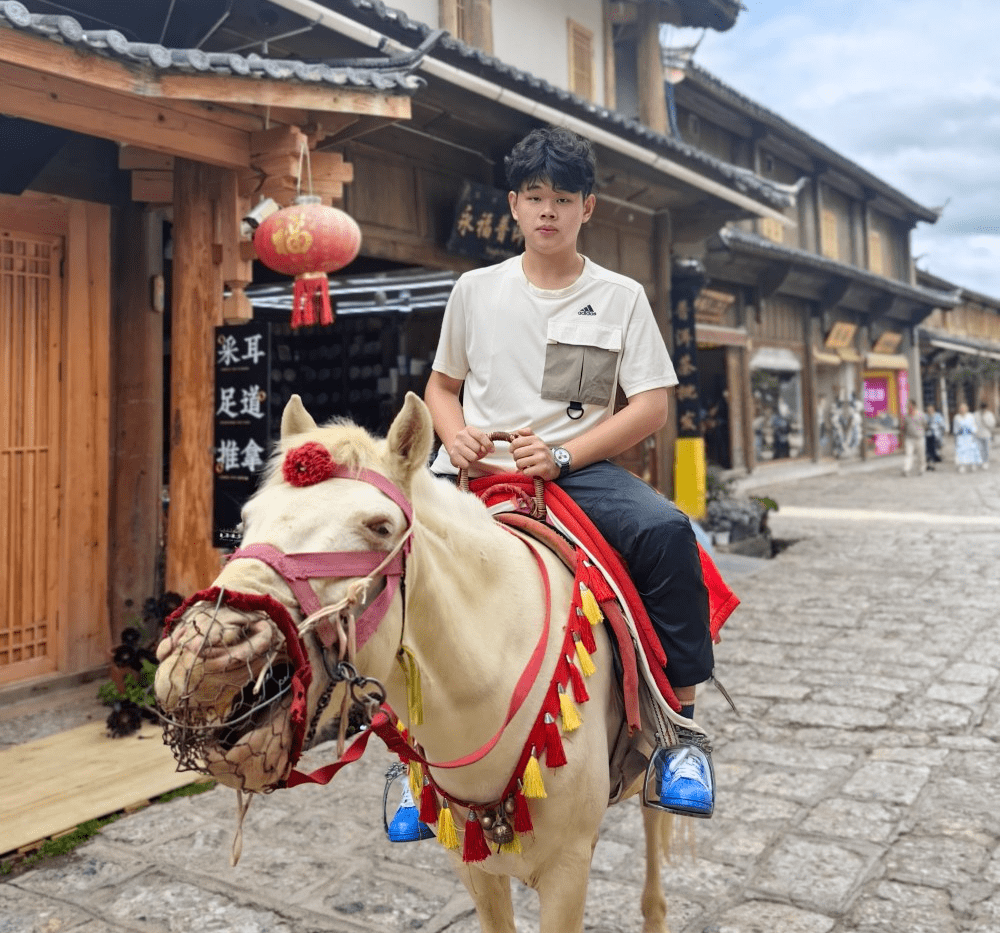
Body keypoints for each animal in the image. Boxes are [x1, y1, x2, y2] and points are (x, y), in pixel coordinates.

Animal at [158, 392, 680, 932]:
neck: (485, 686)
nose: (203, 654)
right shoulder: (472, 863)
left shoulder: (568, 868)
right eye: (244, 522)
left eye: (379, 527)